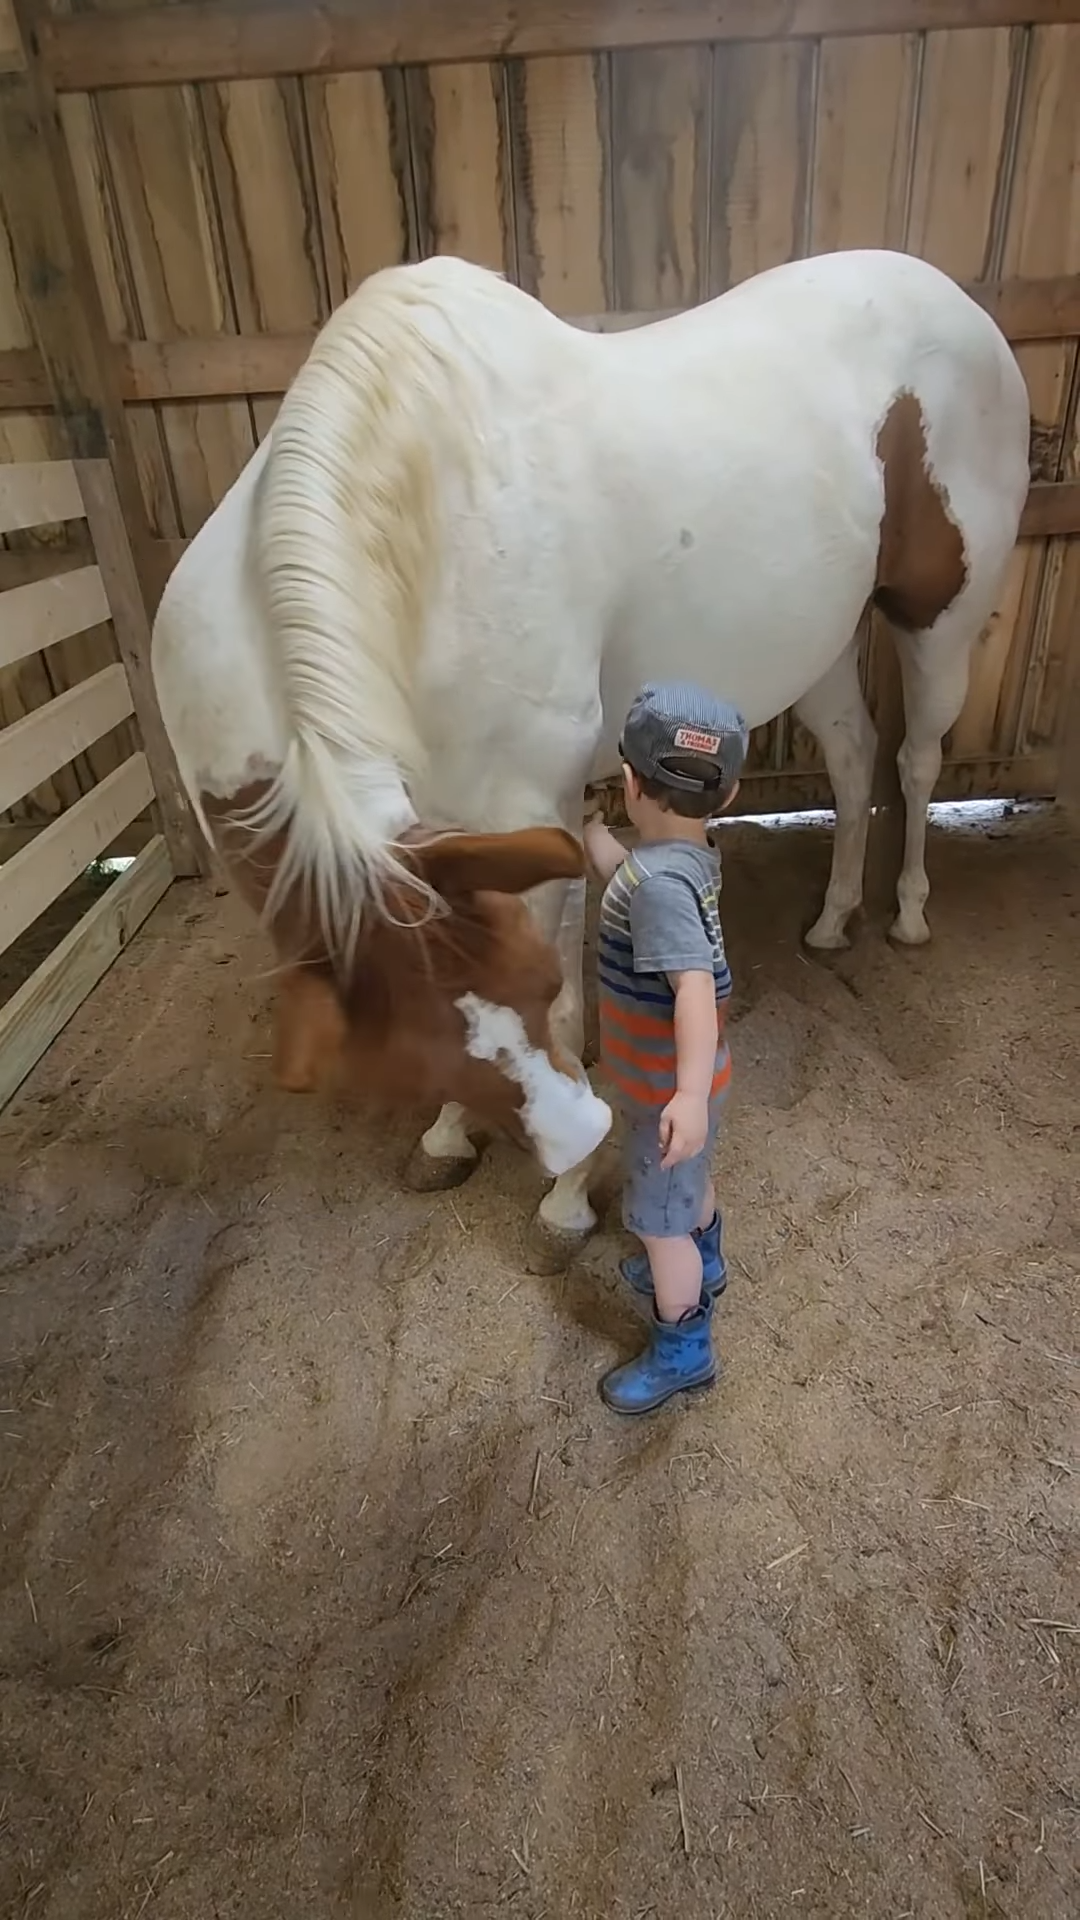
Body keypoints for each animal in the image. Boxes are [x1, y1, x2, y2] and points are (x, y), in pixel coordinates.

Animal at [151, 243, 1022, 1259]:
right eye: (407, 1059)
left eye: (529, 987)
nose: (581, 1137)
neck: (416, 527)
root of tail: (954, 300)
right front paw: (448, 1138)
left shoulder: (527, 802)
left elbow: (569, 995)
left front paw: (564, 1199)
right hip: (823, 643)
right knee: (852, 758)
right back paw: (834, 918)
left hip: (937, 624)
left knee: (916, 762)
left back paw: (909, 913)